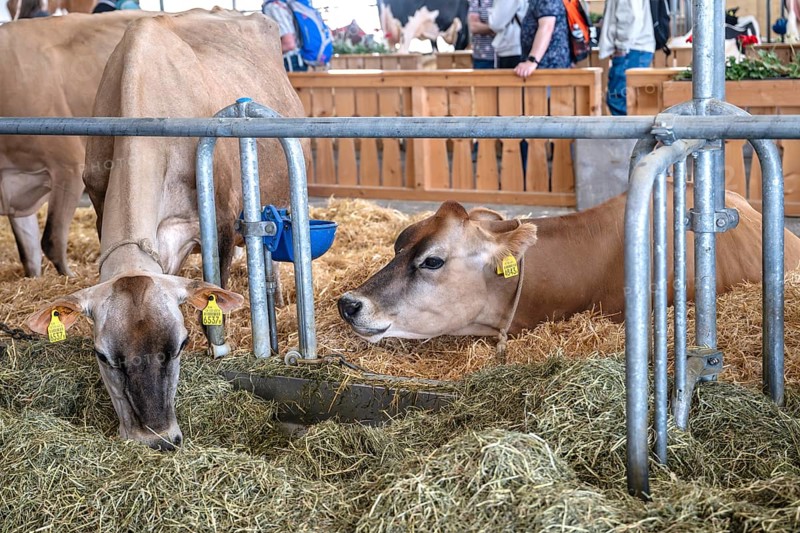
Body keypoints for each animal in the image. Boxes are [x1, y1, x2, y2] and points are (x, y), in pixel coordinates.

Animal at [26, 9, 309, 450]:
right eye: (102, 355)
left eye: (181, 344)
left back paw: (276, 296)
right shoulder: (101, 198)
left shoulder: (220, 220)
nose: (159, 439)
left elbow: (214, 307)